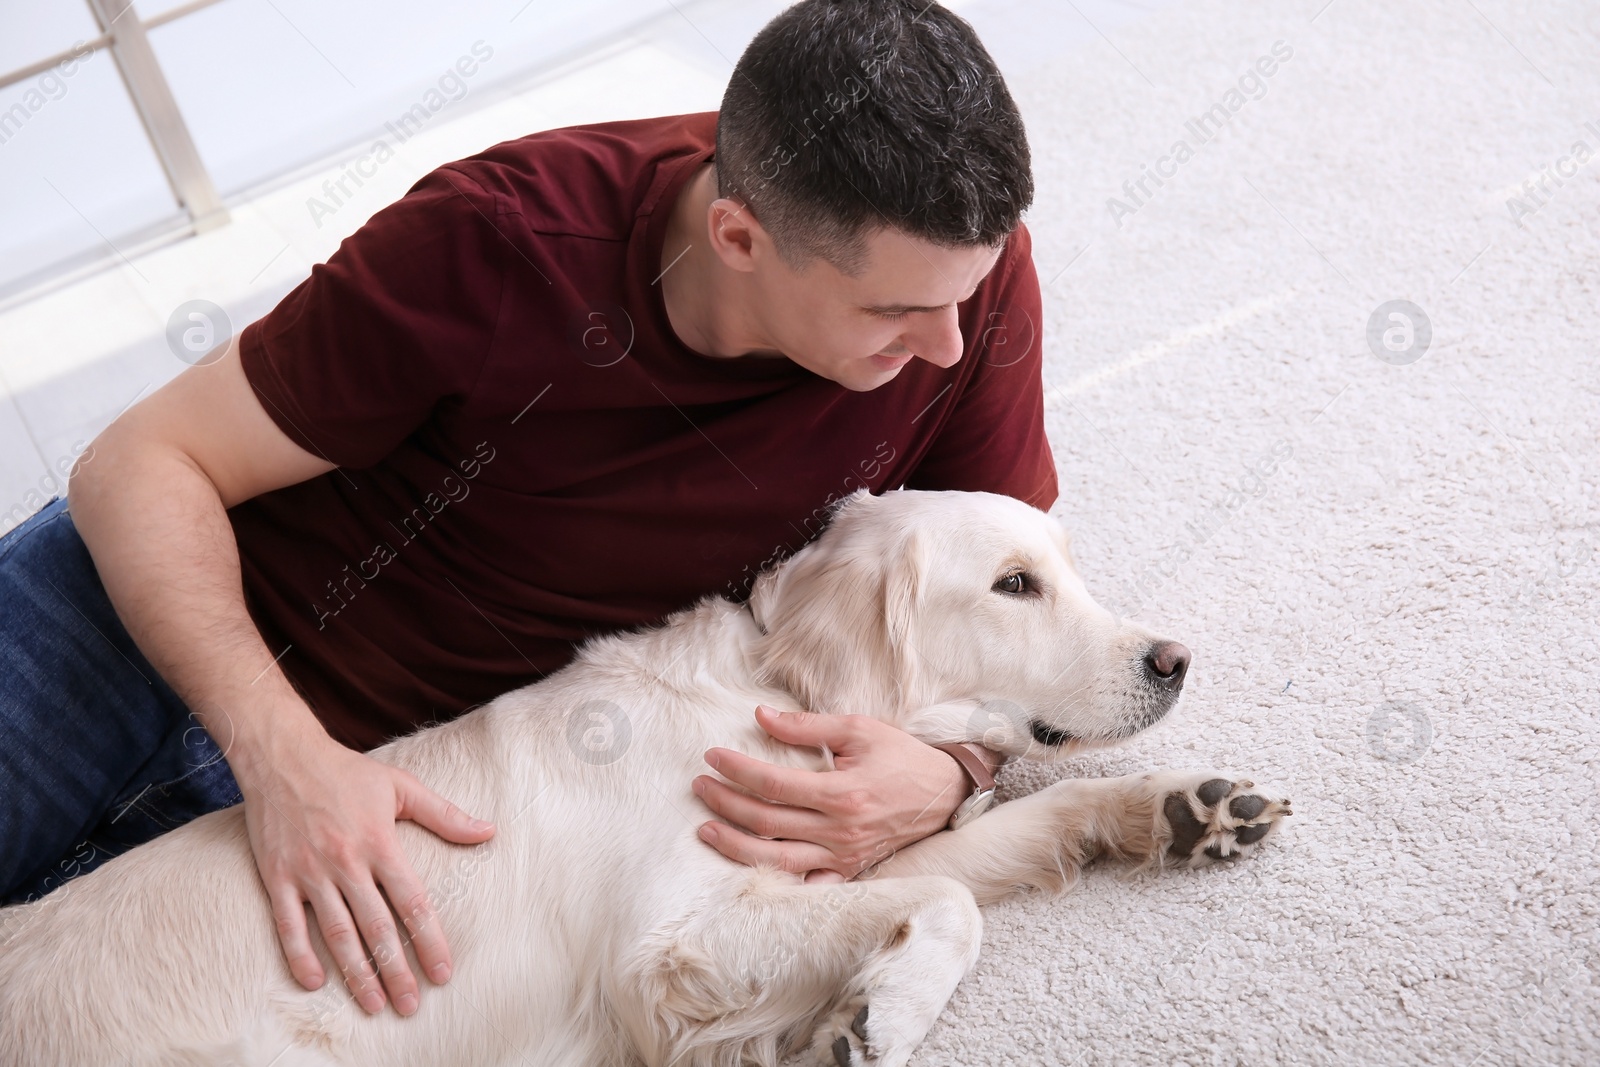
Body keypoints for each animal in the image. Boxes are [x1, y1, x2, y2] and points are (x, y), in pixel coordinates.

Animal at [0, 492, 1286, 1067]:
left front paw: (1178, 805)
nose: (1173, 659)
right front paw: (872, 1017)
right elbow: (949, 902)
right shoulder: (662, 943)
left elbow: (1005, 838)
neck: (759, 692)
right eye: (1013, 583)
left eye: (1063, 564)